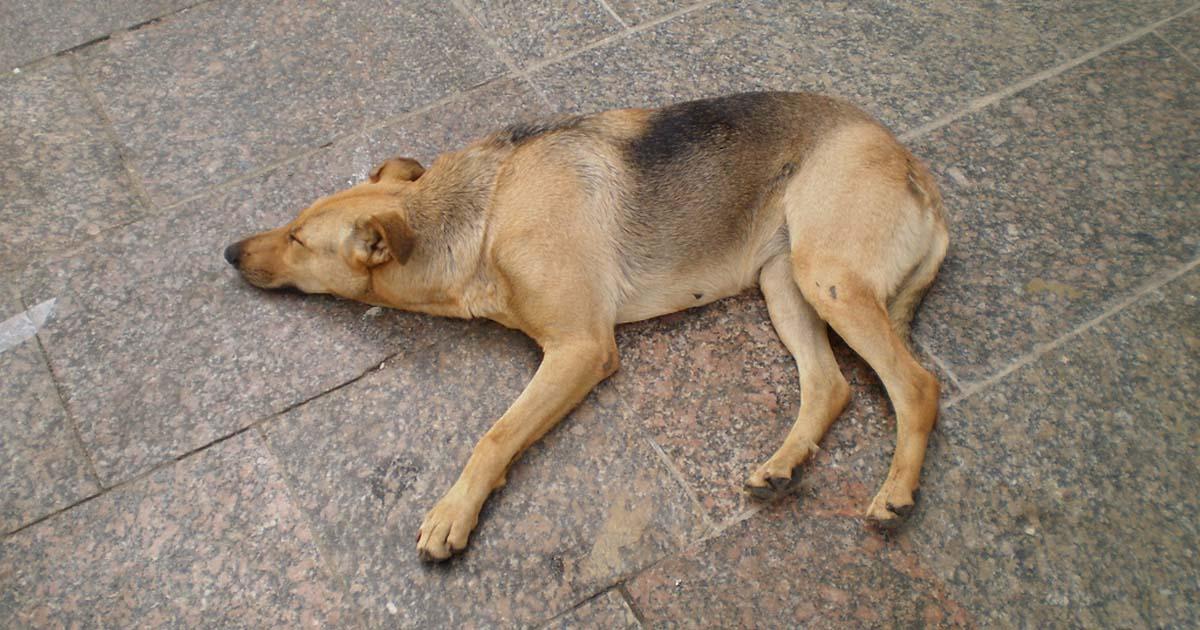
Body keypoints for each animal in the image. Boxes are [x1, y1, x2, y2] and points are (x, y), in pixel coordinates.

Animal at [226, 90, 945, 556]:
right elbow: (504, 432)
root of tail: (915, 166)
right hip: (783, 281)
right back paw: (783, 466)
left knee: (915, 385)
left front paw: (455, 511)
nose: (230, 251)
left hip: (828, 277)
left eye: (297, 239)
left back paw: (894, 495)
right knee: (831, 385)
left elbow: (495, 435)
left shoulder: (580, 348)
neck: (484, 213)